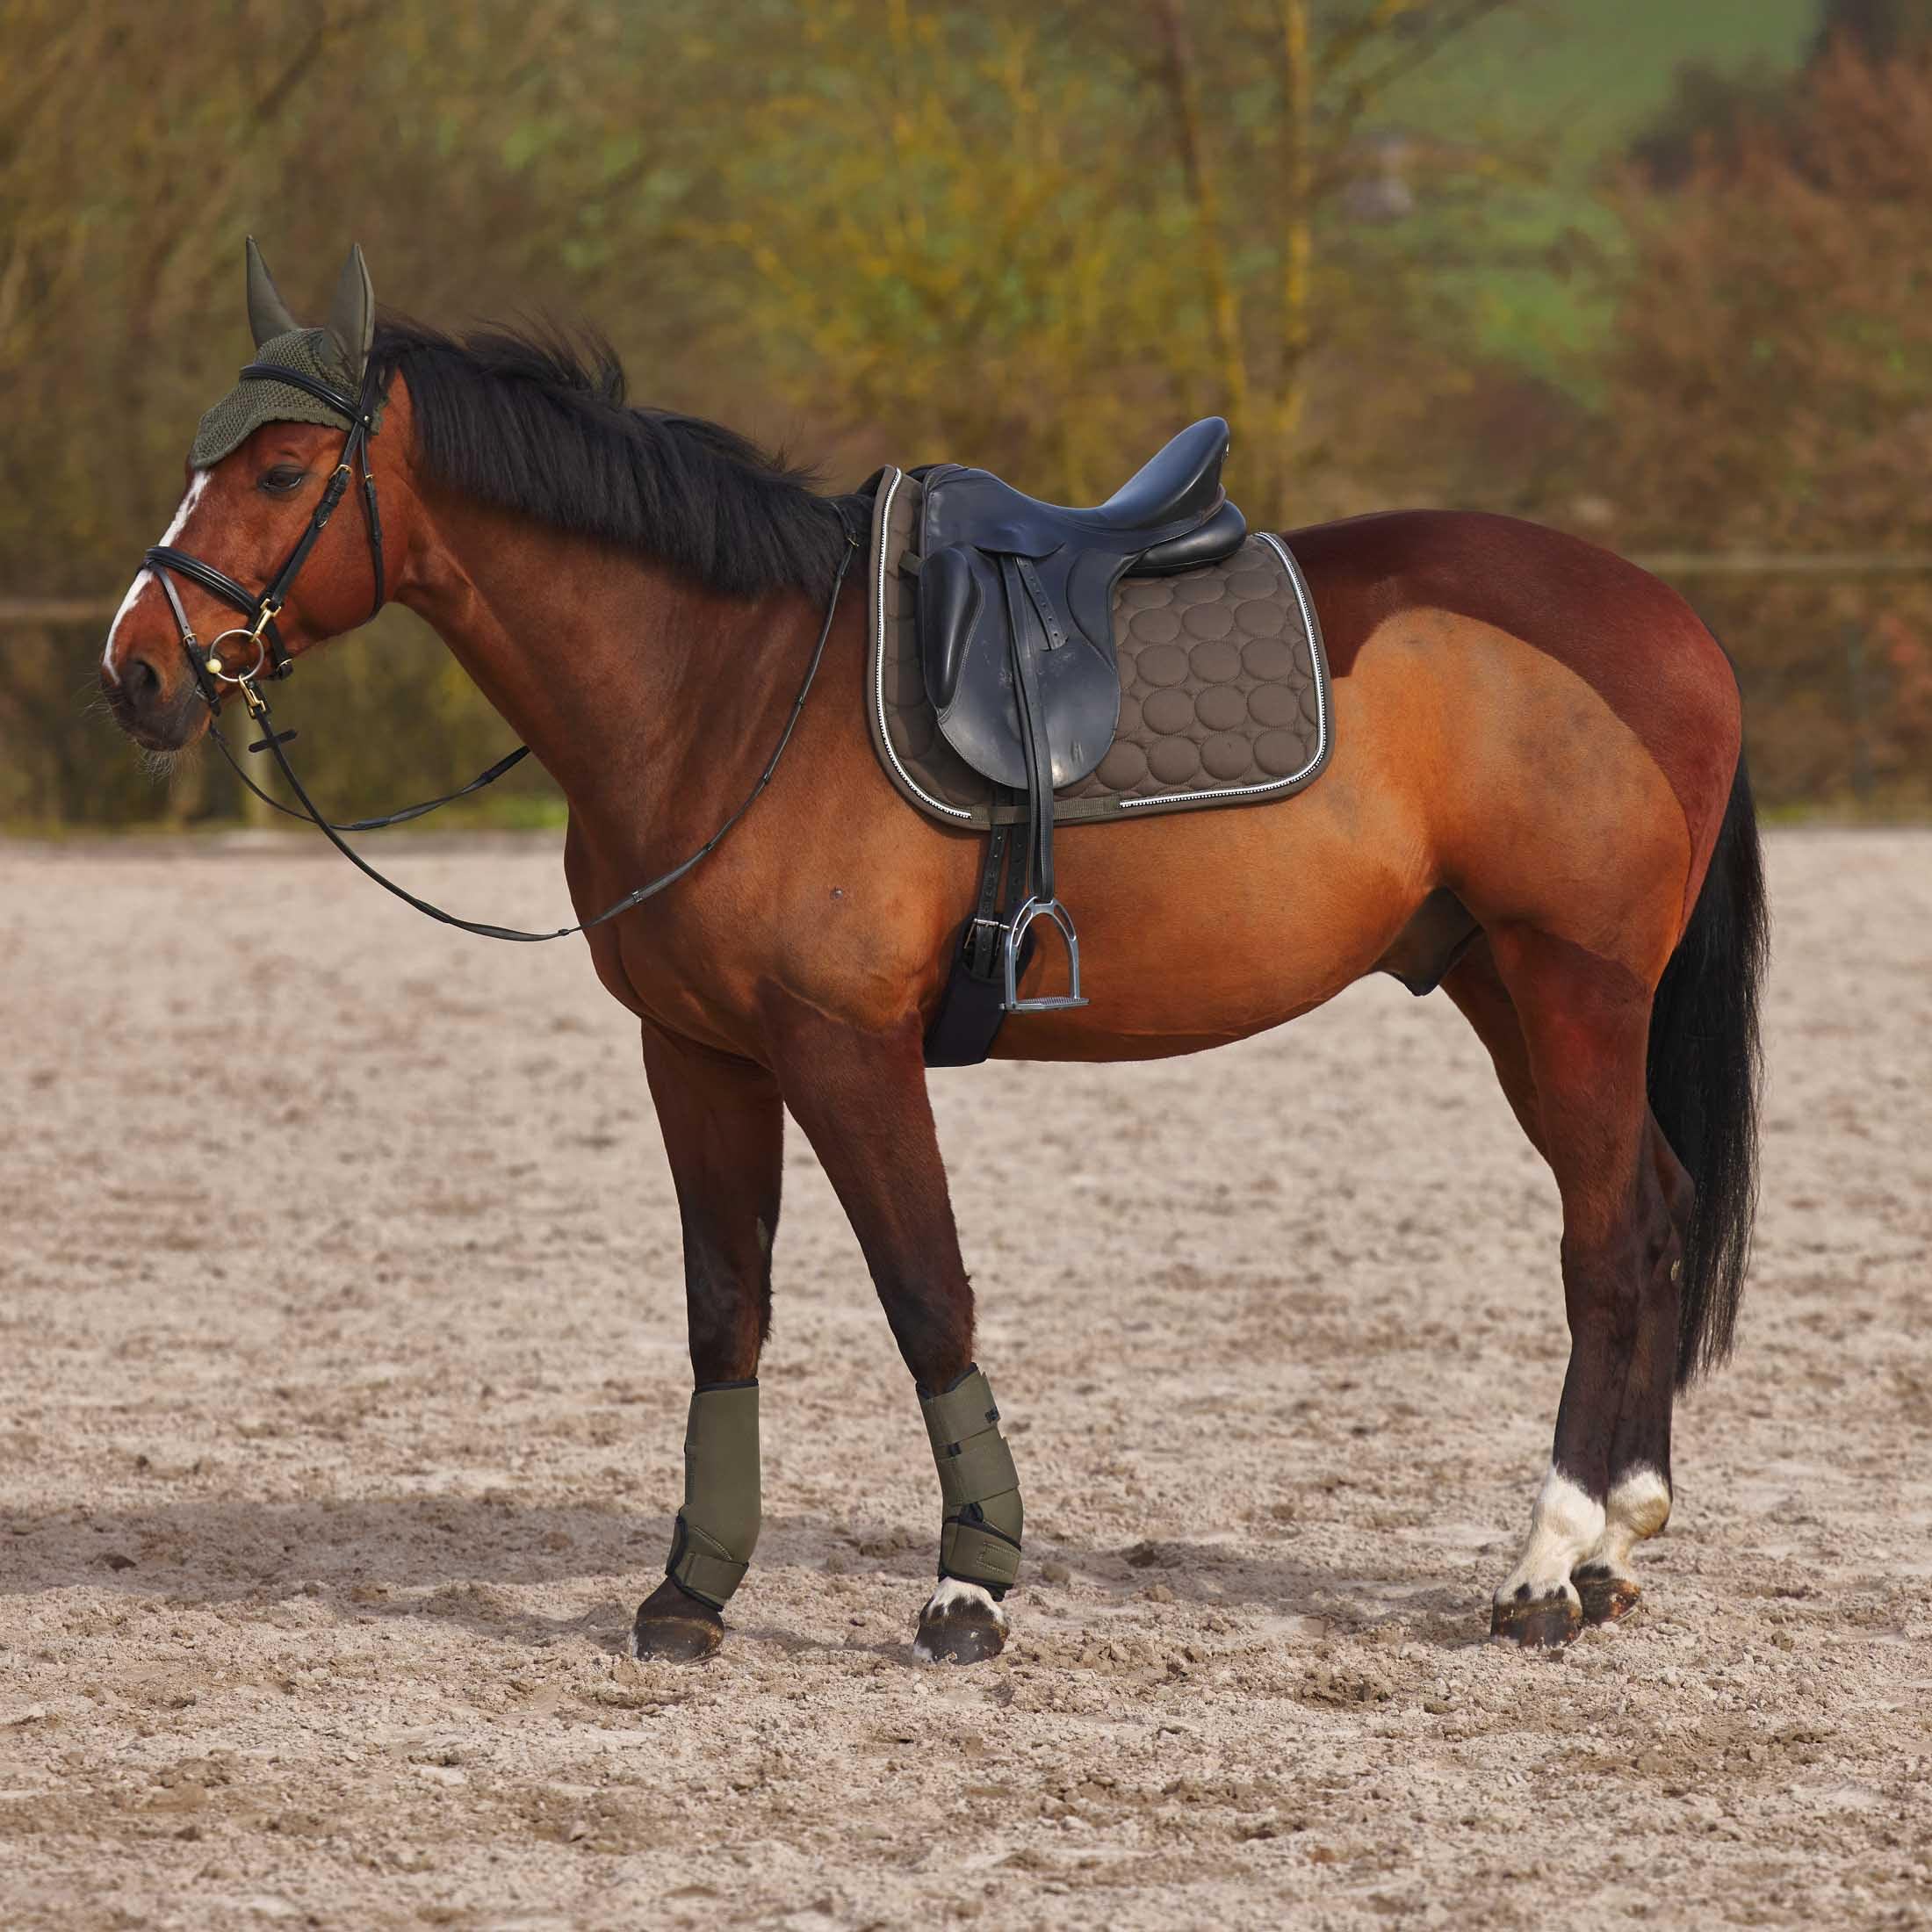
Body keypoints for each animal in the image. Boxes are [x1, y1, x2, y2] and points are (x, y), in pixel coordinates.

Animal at [99, 243, 1766, 1666]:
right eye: (196, 456)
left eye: (282, 469)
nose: (135, 672)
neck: (726, 689)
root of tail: (1670, 618)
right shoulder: (695, 1053)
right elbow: (727, 1308)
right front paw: (692, 1590)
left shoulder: (847, 1049)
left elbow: (925, 1297)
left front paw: (972, 1587)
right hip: (1507, 988)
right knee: (1656, 1210)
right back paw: (1614, 1547)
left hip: (1571, 984)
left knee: (1612, 1237)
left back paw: (1545, 1568)